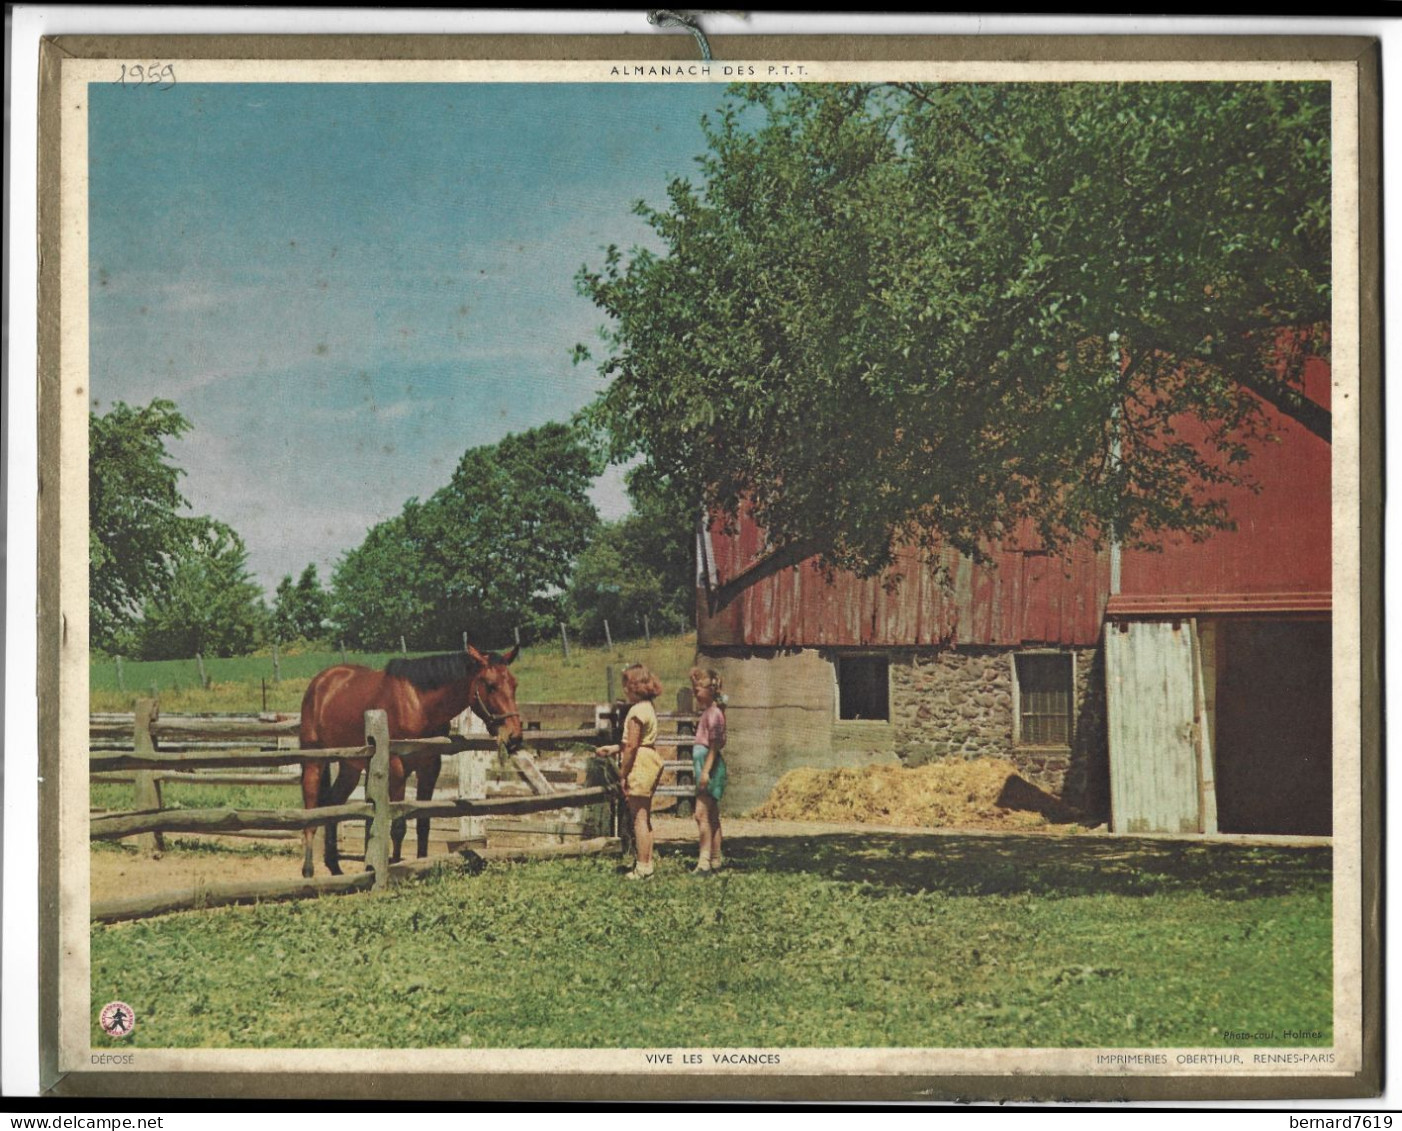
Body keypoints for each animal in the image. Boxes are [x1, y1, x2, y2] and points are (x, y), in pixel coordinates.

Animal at [298, 641, 524, 880]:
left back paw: (335, 867)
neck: (418, 703)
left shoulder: (429, 768)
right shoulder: (397, 769)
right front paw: (397, 866)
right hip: (314, 761)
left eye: (514, 684)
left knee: (332, 804)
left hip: (349, 766)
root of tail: (321, 682)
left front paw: (421, 863)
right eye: (490, 685)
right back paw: (308, 870)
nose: (514, 736)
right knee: (312, 809)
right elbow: (398, 826)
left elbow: (423, 822)